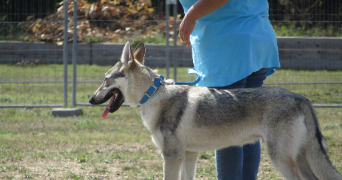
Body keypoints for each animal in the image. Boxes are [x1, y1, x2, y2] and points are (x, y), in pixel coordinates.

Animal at [89, 41, 340, 180]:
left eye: (105, 80)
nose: (90, 99)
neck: (153, 95)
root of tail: (301, 99)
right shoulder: (189, 155)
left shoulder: (172, 156)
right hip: (299, 158)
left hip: (280, 158)